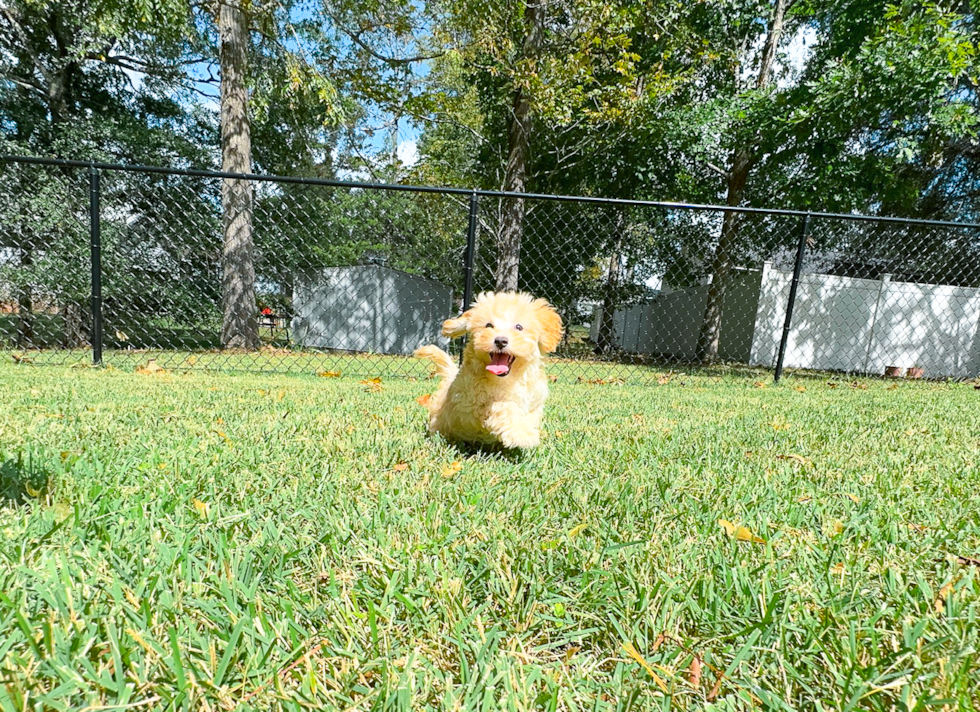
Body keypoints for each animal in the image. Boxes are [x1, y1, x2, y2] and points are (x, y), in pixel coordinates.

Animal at [414, 290, 564, 448]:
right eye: (488, 325)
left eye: (519, 327)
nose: (500, 341)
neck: (508, 379)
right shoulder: (470, 402)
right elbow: (502, 406)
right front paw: (523, 434)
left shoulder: (534, 399)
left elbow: (530, 415)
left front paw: (525, 429)